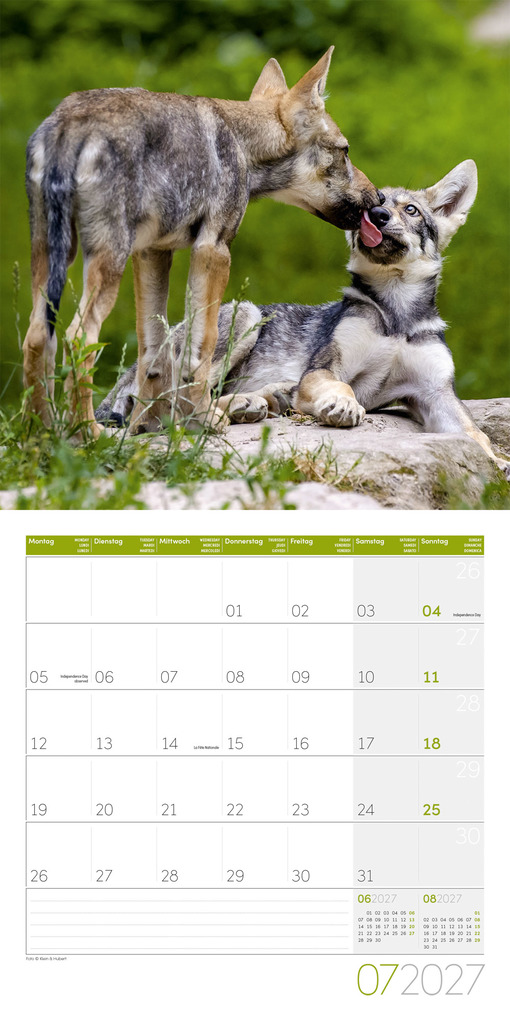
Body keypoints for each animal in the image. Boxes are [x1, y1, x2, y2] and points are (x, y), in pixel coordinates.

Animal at [22, 47, 381, 438]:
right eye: (345, 151)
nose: (378, 198)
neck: (242, 142)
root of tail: (69, 121)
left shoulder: (152, 252)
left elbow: (153, 349)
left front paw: (147, 426)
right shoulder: (214, 249)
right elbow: (200, 346)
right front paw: (199, 419)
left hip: (52, 255)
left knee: (37, 336)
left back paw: (40, 434)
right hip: (112, 263)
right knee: (78, 338)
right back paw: (87, 433)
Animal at [97, 159, 509, 477]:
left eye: (411, 210)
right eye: (370, 208)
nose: (377, 215)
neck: (396, 317)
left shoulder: (435, 393)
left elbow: (476, 434)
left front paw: (497, 463)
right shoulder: (325, 368)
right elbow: (342, 387)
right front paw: (343, 406)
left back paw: (262, 401)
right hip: (245, 315)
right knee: (170, 404)